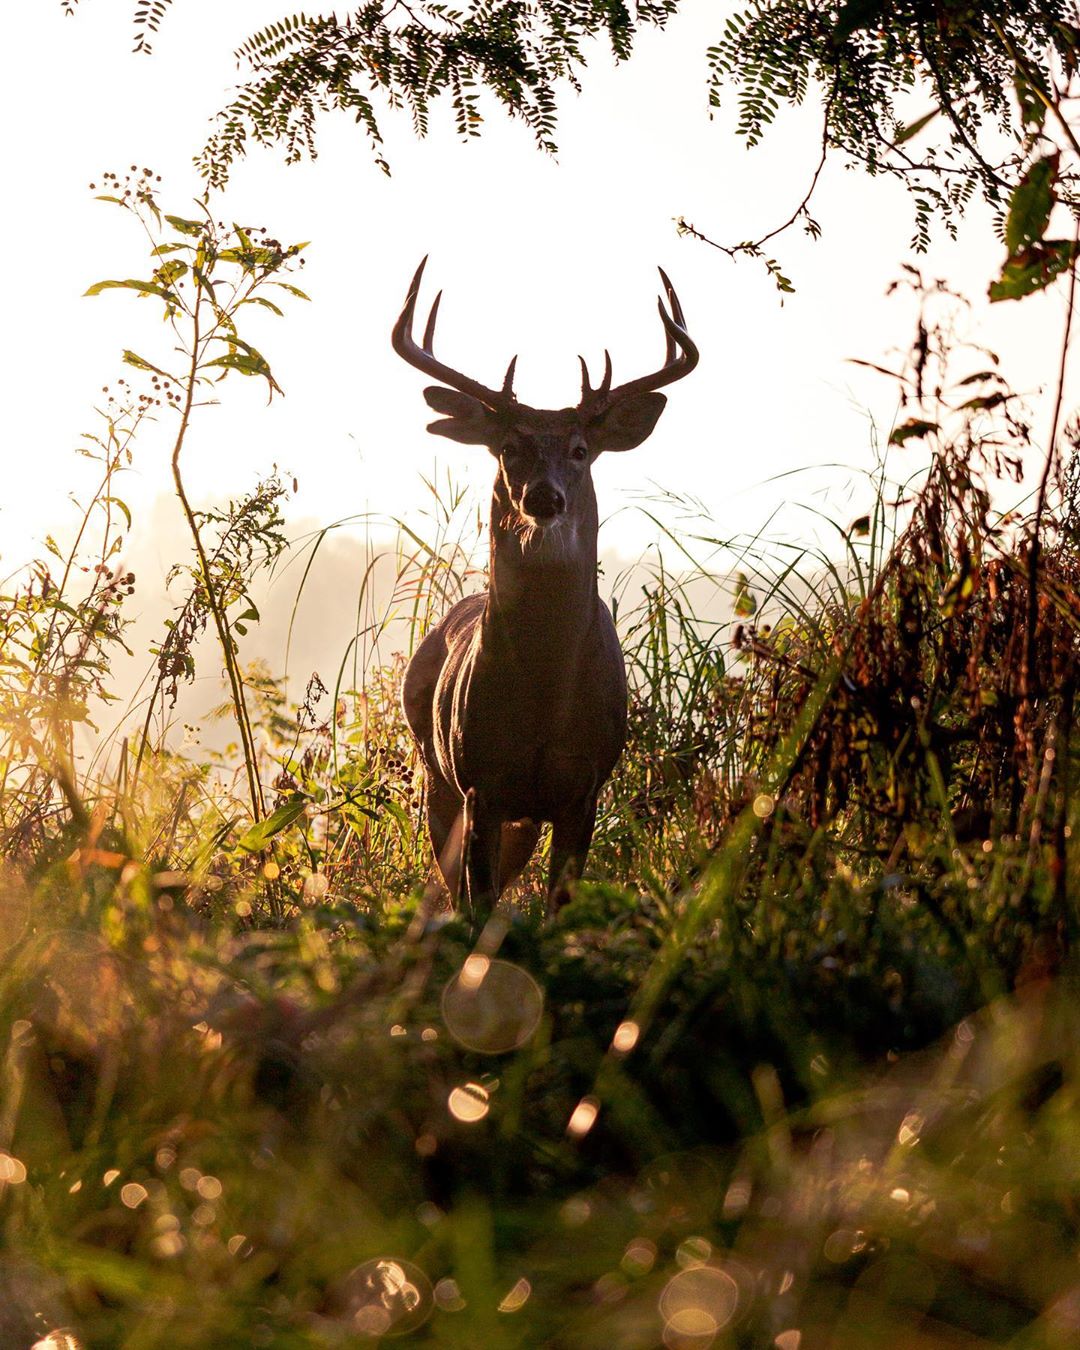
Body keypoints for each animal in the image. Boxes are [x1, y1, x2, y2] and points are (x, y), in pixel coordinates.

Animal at [391, 256, 696, 918]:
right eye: (508, 447)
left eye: (581, 449)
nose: (544, 498)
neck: (544, 697)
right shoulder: (480, 780)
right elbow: (475, 903)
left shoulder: (582, 790)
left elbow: (559, 906)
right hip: (435, 772)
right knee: (454, 886)